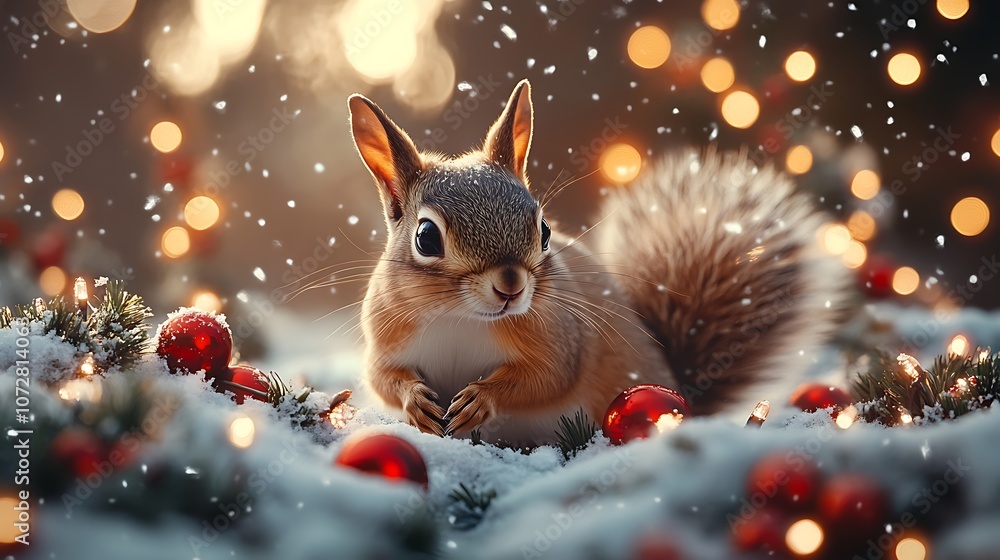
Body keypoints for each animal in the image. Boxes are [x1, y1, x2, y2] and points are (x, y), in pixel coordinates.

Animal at [347, 79, 850, 447]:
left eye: (544, 229)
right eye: (426, 237)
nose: (511, 287)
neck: (460, 317)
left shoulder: (559, 337)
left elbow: (548, 377)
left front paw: (481, 398)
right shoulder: (386, 337)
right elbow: (381, 377)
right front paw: (414, 400)